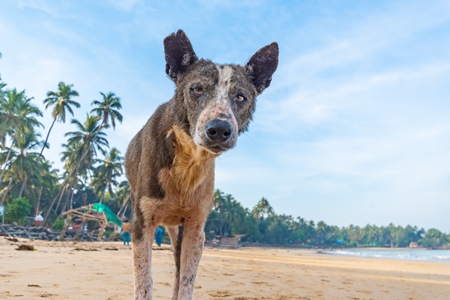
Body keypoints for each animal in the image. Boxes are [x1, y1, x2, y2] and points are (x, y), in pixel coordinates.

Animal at [124, 28, 278, 300]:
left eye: (241, 97)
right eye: (196, 89)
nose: (219, 129)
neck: (188, 161)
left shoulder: (196, 229)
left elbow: (186, 281)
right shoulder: (142, 223)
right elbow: (144, 283)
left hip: (179, 230)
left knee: (177, 269)